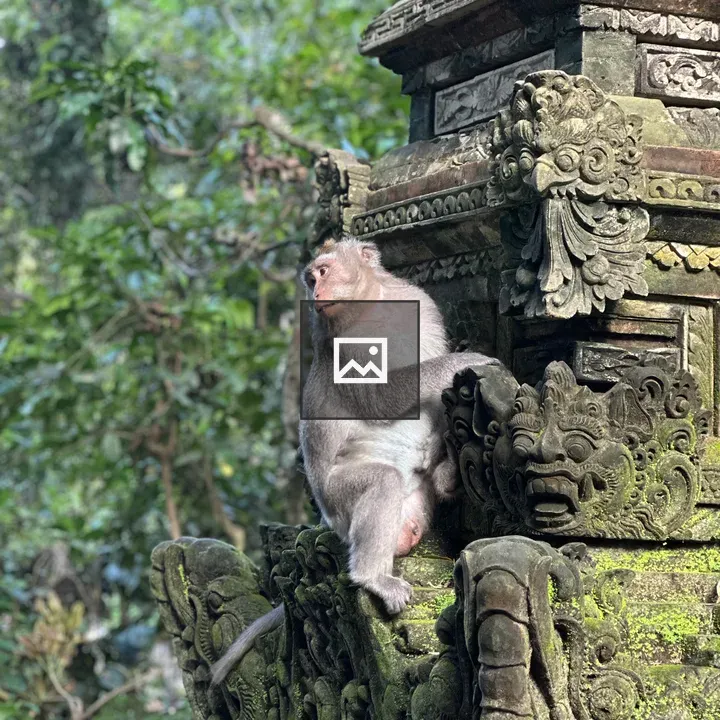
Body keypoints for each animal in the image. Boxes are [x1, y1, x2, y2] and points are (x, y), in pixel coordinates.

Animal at [210, 236, 500, 685]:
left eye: (322, 272)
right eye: (310, 279)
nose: (315, 293)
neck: (374, 304)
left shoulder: (421, 302)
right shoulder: (342, 339)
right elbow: (382, 396)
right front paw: (471, 359)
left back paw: (444, 475)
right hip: (338, 499)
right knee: (380, 483)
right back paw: (373, 577)